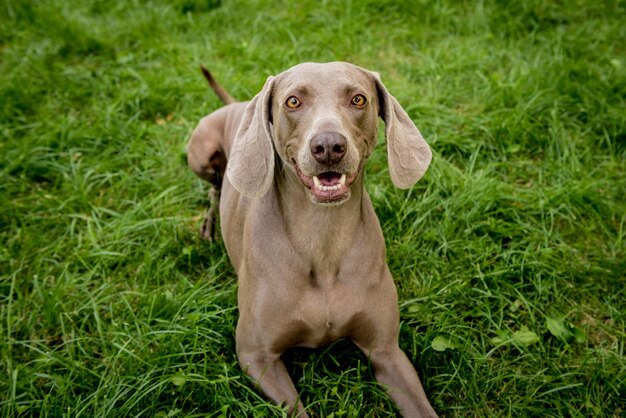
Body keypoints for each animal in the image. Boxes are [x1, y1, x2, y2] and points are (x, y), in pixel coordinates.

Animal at [188, 60, 436, 416]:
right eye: (293, 101)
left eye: (358, 99)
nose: (329, 146)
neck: (323, 239)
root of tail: (235, 103)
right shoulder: (255, 355)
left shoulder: (386, 351)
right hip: (201, 150)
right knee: (215, 185)